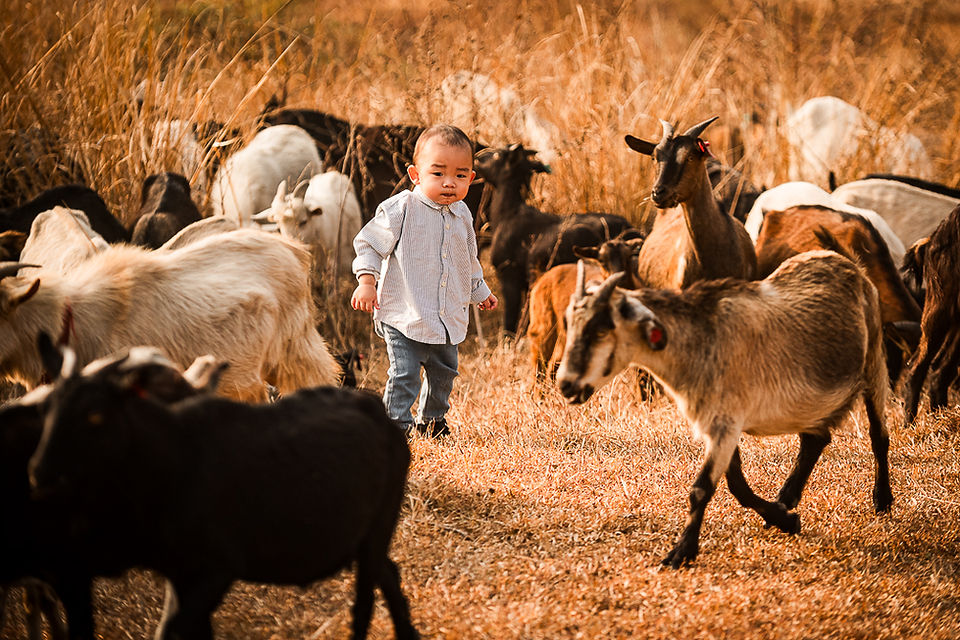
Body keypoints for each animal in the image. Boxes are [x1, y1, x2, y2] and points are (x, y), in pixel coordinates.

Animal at [28, 351, 419, 640]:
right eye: (48, 411)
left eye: (94, 416)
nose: (39, 473)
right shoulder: (182, 575)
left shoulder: (215, 570)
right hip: (362, 536)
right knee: (388, 575)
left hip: (376, 529)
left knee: (366, 600)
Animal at [557, 252, 892, 568]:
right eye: (570, 323)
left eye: (602, 328)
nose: (566, 384)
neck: (702, 339)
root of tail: (846, 263)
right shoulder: (719, 422)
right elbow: (737, 485)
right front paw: (783, 518)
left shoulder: (726, 423)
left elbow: (701, 488)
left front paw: (682, 552)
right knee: (815, 440)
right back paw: (787, 498)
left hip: (874, 360)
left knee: (878, 435)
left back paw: (882, 500)